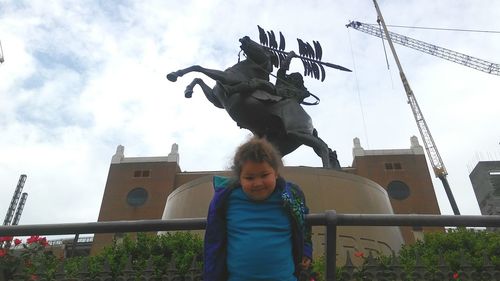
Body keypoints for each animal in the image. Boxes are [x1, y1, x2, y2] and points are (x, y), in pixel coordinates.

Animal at [167, 34, 340, 166]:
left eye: (263, 48)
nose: (245, 38)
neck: (245, 72)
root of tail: (310, 122)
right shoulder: (216, 100)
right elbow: (199, 78)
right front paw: (187, 90)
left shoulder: (227, 79)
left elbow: (199, 68)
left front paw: (174, 75)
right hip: (284, 141)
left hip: (296, 131)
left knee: (322, 146)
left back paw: (326, 169)